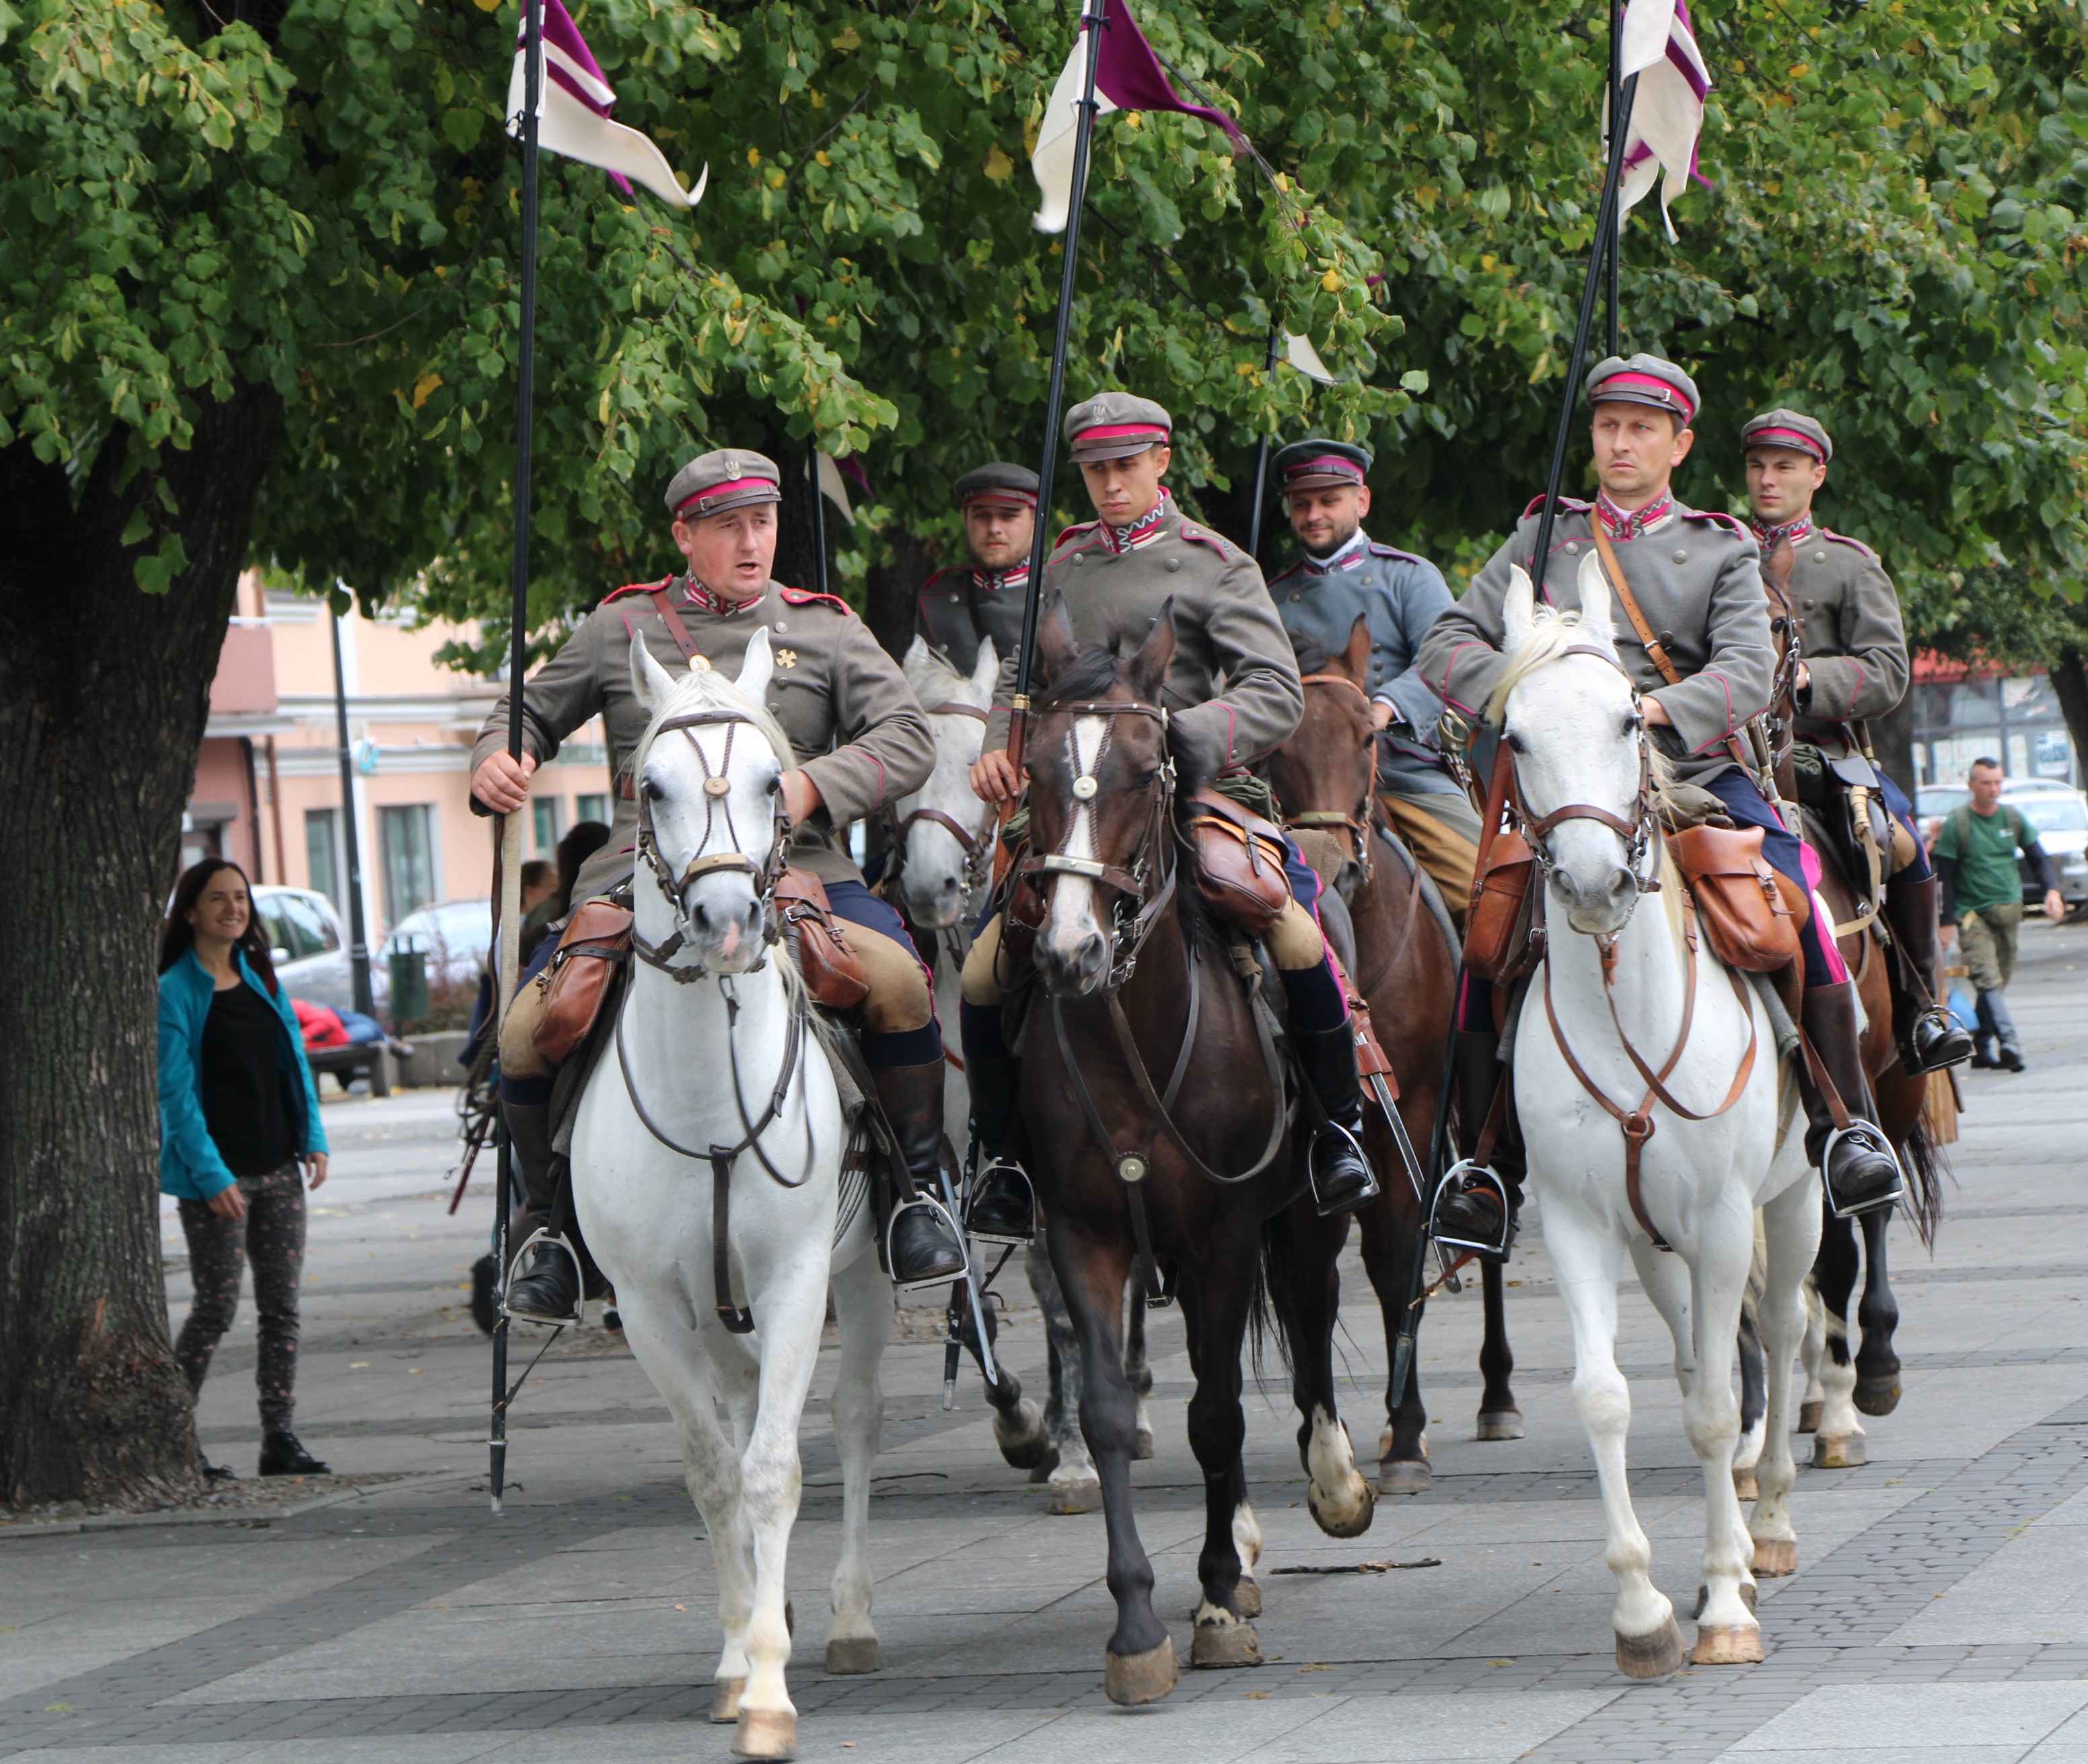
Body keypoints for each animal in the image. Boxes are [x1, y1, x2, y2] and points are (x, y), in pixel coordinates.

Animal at [572, 634, 889, 1761]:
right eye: (649, 786)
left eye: (767, 779)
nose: (723, 919)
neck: (706, 1091)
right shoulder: (651, 1309)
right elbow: (713, 1473)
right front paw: (736, 1655)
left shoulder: (796, 1278)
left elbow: (772, 1470)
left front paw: (768, 1692)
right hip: (719, 1316)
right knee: (747, 1415)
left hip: (863, 1278)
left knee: (847, 1420)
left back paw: (843, 1618)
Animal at [1006, 597, 1369, 1703]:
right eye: (1034, 770)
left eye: (1143, 768)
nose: (1068, 951)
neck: (1132, 1022)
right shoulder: (1084, 1233)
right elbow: (1108, 1407)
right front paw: (1135, 1626)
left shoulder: (1222, 1232)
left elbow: (1216, 1411)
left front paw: (1210, 1602)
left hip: (1304, 1208)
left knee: (1305, 1311)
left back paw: (1330, 1483)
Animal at [1261, 618, 1528, 1486]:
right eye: (1278, 745)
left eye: (1369, 737)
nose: (1328, 865)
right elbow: (1310, 1276)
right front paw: (1328, 1435)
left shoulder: (1410, 1108)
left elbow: (1395, 1250)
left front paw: (1406, 1431)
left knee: (1481, 1227)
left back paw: (1496, 1395)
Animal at [1495, 559, 1820, 1670]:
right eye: (1514, 736)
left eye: (1627, 719)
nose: (1595, 882)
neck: (1617, 999)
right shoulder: (1578, 1226)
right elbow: (1610, 1396)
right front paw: (1640, 1613)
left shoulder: (1722, 1222)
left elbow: (1722, 1410)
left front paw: (1721, 1606)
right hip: (1654, 1246)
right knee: (1690, 1357)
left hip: (1793, 1205)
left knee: (1783, 1325)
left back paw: (1768, 1529)